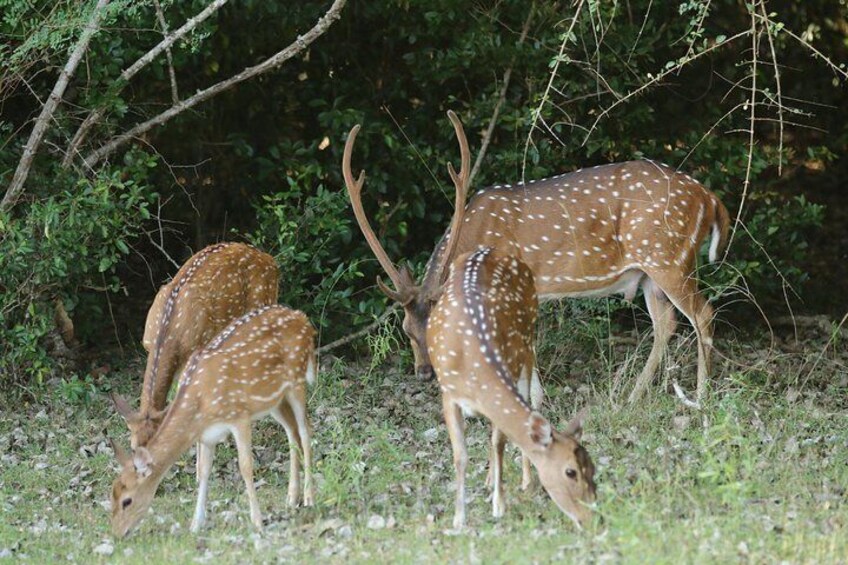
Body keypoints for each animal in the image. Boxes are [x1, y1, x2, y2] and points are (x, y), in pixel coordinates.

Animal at [109, 304, 314, 536]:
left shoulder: (239, 416)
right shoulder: (207, 434)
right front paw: (196, 524)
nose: (117, 533)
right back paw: (292, 498)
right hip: (274, 400)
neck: (201, 404)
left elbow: (245, 466)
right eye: (111, 496)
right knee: (292, 433)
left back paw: (309, 498)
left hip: (297, 380)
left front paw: (257, 521)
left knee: (306, 432)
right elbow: (204, 470)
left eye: (127, 501)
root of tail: (303, 319)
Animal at [342, 111, 728, 400]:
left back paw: (701, 396)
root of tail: (709, 197)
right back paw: (631, 397)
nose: (424, 372)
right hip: (650, 272)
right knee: (667, 323)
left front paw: (532, 401)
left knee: (703, 313)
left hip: (669, 258)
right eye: (406, 329)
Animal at [424, 248, 596, 528]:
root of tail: (492, 250)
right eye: (570, 471)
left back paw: (525, 479)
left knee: (531, 397)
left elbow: (499, 442)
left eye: (592, 467)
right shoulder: (448, 393)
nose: (591, 517)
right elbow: (460, 455)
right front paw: (459, 518)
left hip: (528, 340)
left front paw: (499, 504)